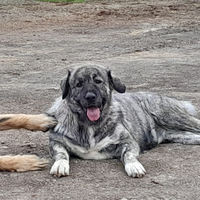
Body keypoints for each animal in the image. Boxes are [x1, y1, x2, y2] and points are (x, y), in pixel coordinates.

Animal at [48, 65, 200, 177]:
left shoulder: (128, 141)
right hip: (180, 135)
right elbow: (61, 154)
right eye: (78, 84)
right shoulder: (56, 142)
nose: (90, 97)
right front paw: (60, 165)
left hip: (171, 117)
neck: (90, 124)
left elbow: (128, 155)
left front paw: (134, 166)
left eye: (98, 81)